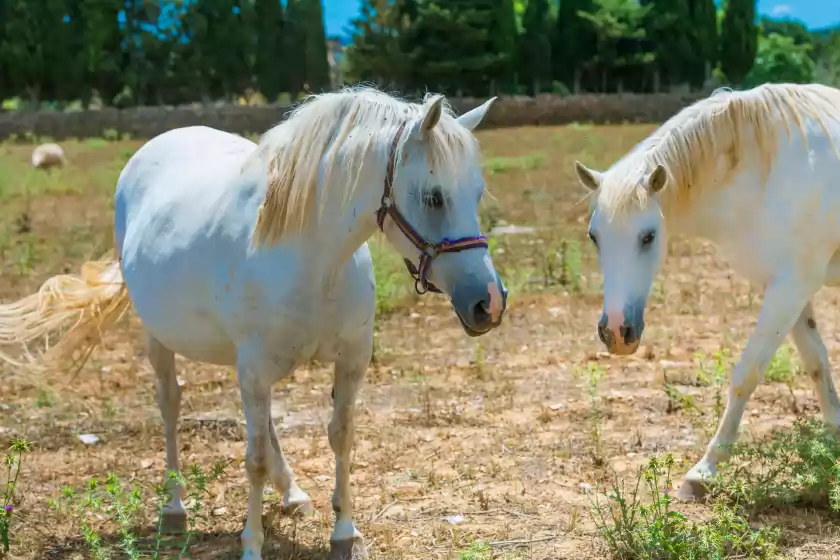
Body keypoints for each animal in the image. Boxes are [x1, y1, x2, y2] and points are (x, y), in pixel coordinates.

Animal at [0, 85, 506, 556]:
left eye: (478, 193)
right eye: (434, 197)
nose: (489, 303)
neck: (314, 260)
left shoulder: (349, 362)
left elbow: (339, 437)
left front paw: (344, 533)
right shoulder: (256, 369)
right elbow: (255, 459)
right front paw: (252, 544)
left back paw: (293, 493)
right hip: (162, 341)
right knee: (170, 406)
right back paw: (174, 509)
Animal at [576, 84, 840, 504]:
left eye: (648, 236)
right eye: (594, 236)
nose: (617, 332)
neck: (768, 172)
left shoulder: (790, 287)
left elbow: (747, 374)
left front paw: (704, 471)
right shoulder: (787, 288)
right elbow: (817, 363)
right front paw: (834, 442)